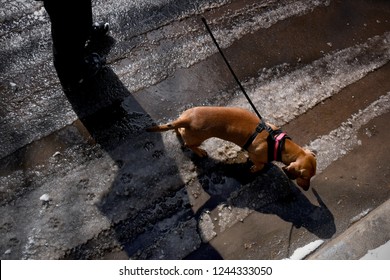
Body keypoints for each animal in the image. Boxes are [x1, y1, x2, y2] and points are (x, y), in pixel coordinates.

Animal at [147, 106, 316, 190]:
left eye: (311, 177)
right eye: (305, 177)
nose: (308, 189)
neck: (278, 144)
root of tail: (187, 119)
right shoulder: (257, 156)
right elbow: (259, 165)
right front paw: (254, 168)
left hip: (184, 124)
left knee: (177, 130)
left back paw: (177, 131)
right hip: (198, 137)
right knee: (189, 144)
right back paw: (200, 152)